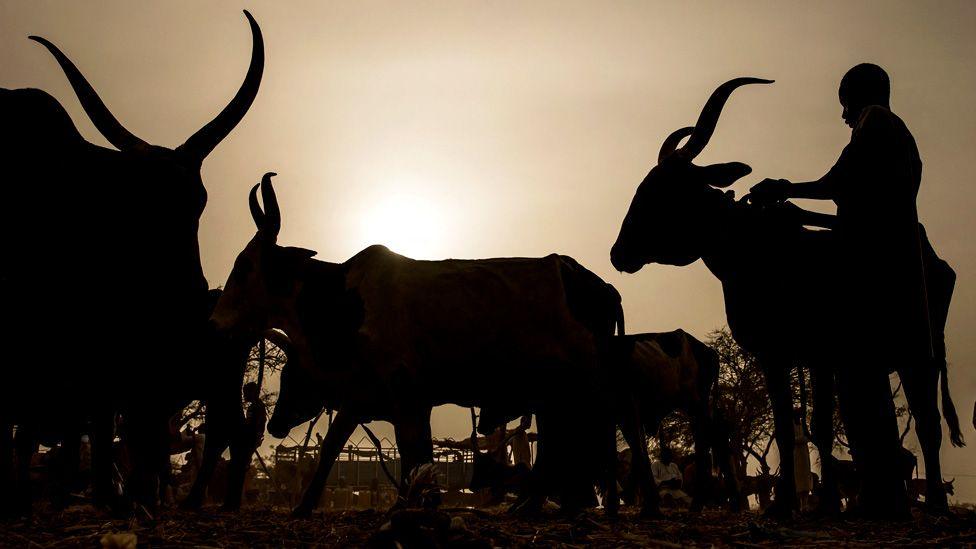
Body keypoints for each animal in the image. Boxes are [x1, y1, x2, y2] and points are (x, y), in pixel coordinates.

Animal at [211, 173, 632, 517]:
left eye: (244, 265)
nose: (216, 320)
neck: (345, 299)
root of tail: (599, 284)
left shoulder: (404, 394)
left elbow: (412, 451)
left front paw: (413, 504)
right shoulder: (368, 396)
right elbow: (342, 445)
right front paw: (306, 506)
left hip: (582, 381)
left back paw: (603, 504)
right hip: (551, 393)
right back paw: (534, 505)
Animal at [610, 330, 742, 512]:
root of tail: (708, 350)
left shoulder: (627, 406)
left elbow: (638, 449)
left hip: (697, 403)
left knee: (708, 440)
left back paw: (702, 501)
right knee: (715, 438)